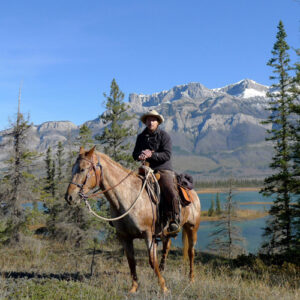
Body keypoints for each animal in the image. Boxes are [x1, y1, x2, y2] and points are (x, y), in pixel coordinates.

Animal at [65, 146, 202, 292]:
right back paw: (163, 269)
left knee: (191, 252)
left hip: (192, 227)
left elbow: (151, 261)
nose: (69, 197)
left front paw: (163, 287)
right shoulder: (125, 236)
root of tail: (192, 191)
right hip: (166, 232)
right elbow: (131, 260)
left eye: (82, 169)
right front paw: (134, 288)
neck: (128, 197)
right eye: (73, 168)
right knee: (167, 247)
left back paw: (191, 279)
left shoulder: (148, 234)